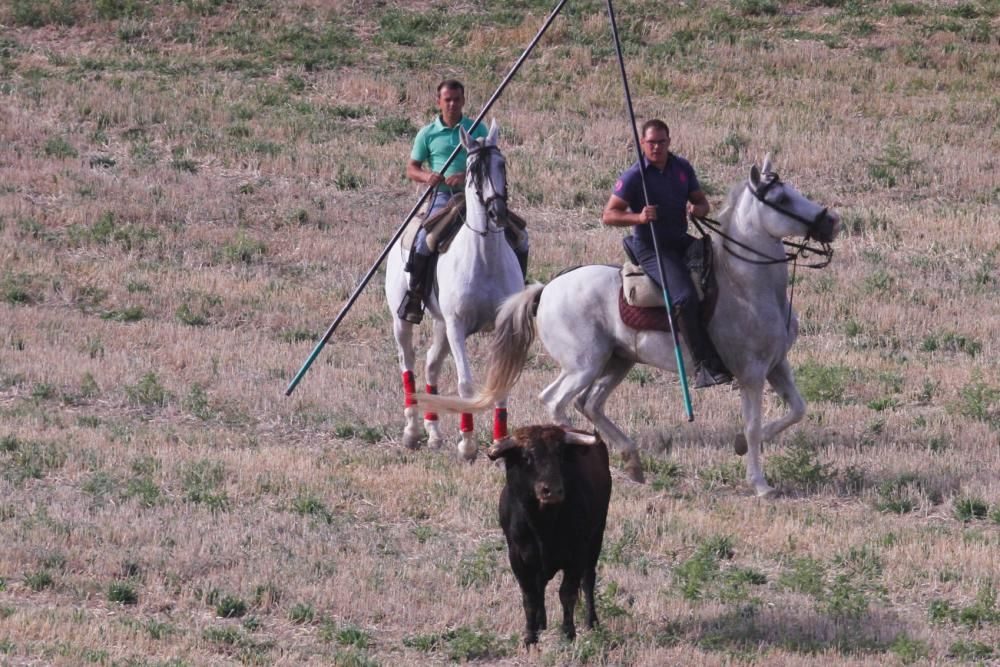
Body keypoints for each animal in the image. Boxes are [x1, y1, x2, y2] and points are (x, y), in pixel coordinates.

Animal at [382, 120, 524, 462]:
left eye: (502, 164)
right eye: (473, 169)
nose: (498, 213)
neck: (484, 258)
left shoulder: (499, 328)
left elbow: (500, 384)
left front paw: (500, 443)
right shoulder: (458, 327)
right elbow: (466, 384)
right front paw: (468, 445)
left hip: (440, 326)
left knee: (431, 366)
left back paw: (433, 434)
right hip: (403, 322)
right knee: (407, 364)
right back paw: (412, 432)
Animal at [418, 157, 840, 496]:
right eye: (781, 199)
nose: (831, 222)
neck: (746, 285)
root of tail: (544, 290)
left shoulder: (776, 366)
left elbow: (796, 410)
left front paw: (739, 445)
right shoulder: (751, 374)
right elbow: (754, 426)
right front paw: (760, 484)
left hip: (618, 361)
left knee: (590, 404)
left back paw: (632, 460)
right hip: (583, 365)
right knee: (557, 401)